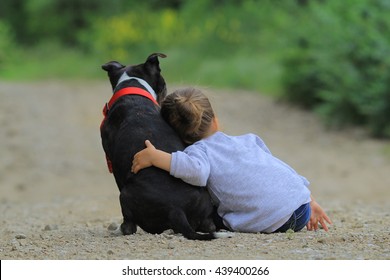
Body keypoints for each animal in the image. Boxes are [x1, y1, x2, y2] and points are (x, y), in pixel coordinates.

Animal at [100, 53, 219, 241]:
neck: (132, 87)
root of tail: (176, 209)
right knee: (208, 224)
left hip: (124, 194)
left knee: (130, 226)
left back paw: (120, 229)